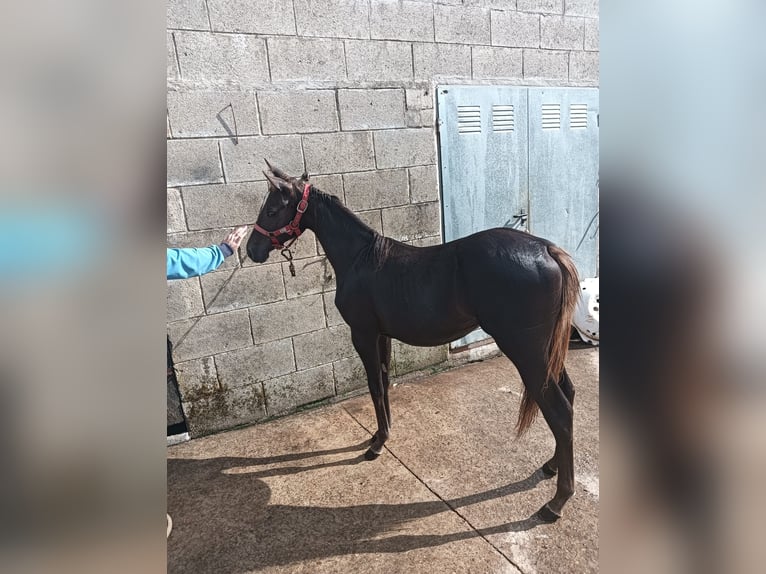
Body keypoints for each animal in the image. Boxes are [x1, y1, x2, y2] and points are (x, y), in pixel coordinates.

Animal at [248, 163, 584, 528]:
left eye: (271, 209)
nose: (251, 250)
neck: (359, 259)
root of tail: (547, 250)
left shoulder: (363, 334)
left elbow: (374, 386)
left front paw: (376, 445)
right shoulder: (382, 336)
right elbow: (383, 383)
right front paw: (382, 434)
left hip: (526, 353)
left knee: (559, 411)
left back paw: (556, 502)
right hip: (546, 352)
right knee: (568, 395)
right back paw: (551, 466)